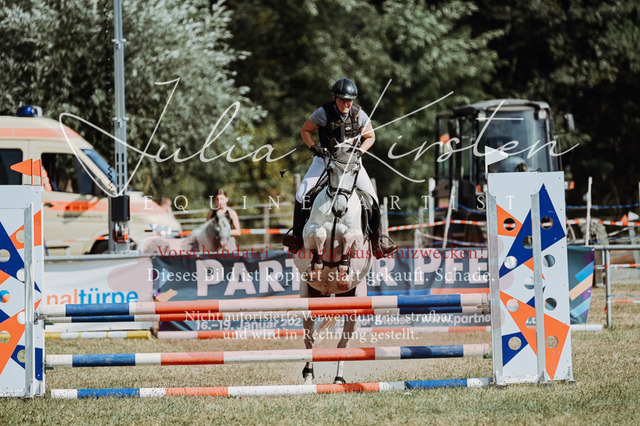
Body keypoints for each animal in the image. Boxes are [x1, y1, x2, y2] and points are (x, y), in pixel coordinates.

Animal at [292, 144, 374, 385]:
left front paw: (343, 269)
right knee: (309, 341)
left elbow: (348, 236)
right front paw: (317, 265)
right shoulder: (310, 230)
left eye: (355, 171)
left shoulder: (355, 234)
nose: (339, 209)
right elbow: (320, 232)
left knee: (343, 344)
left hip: (353, 302)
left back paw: (338, 379)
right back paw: (308, 378)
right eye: (330, 170)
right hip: (309, 298)